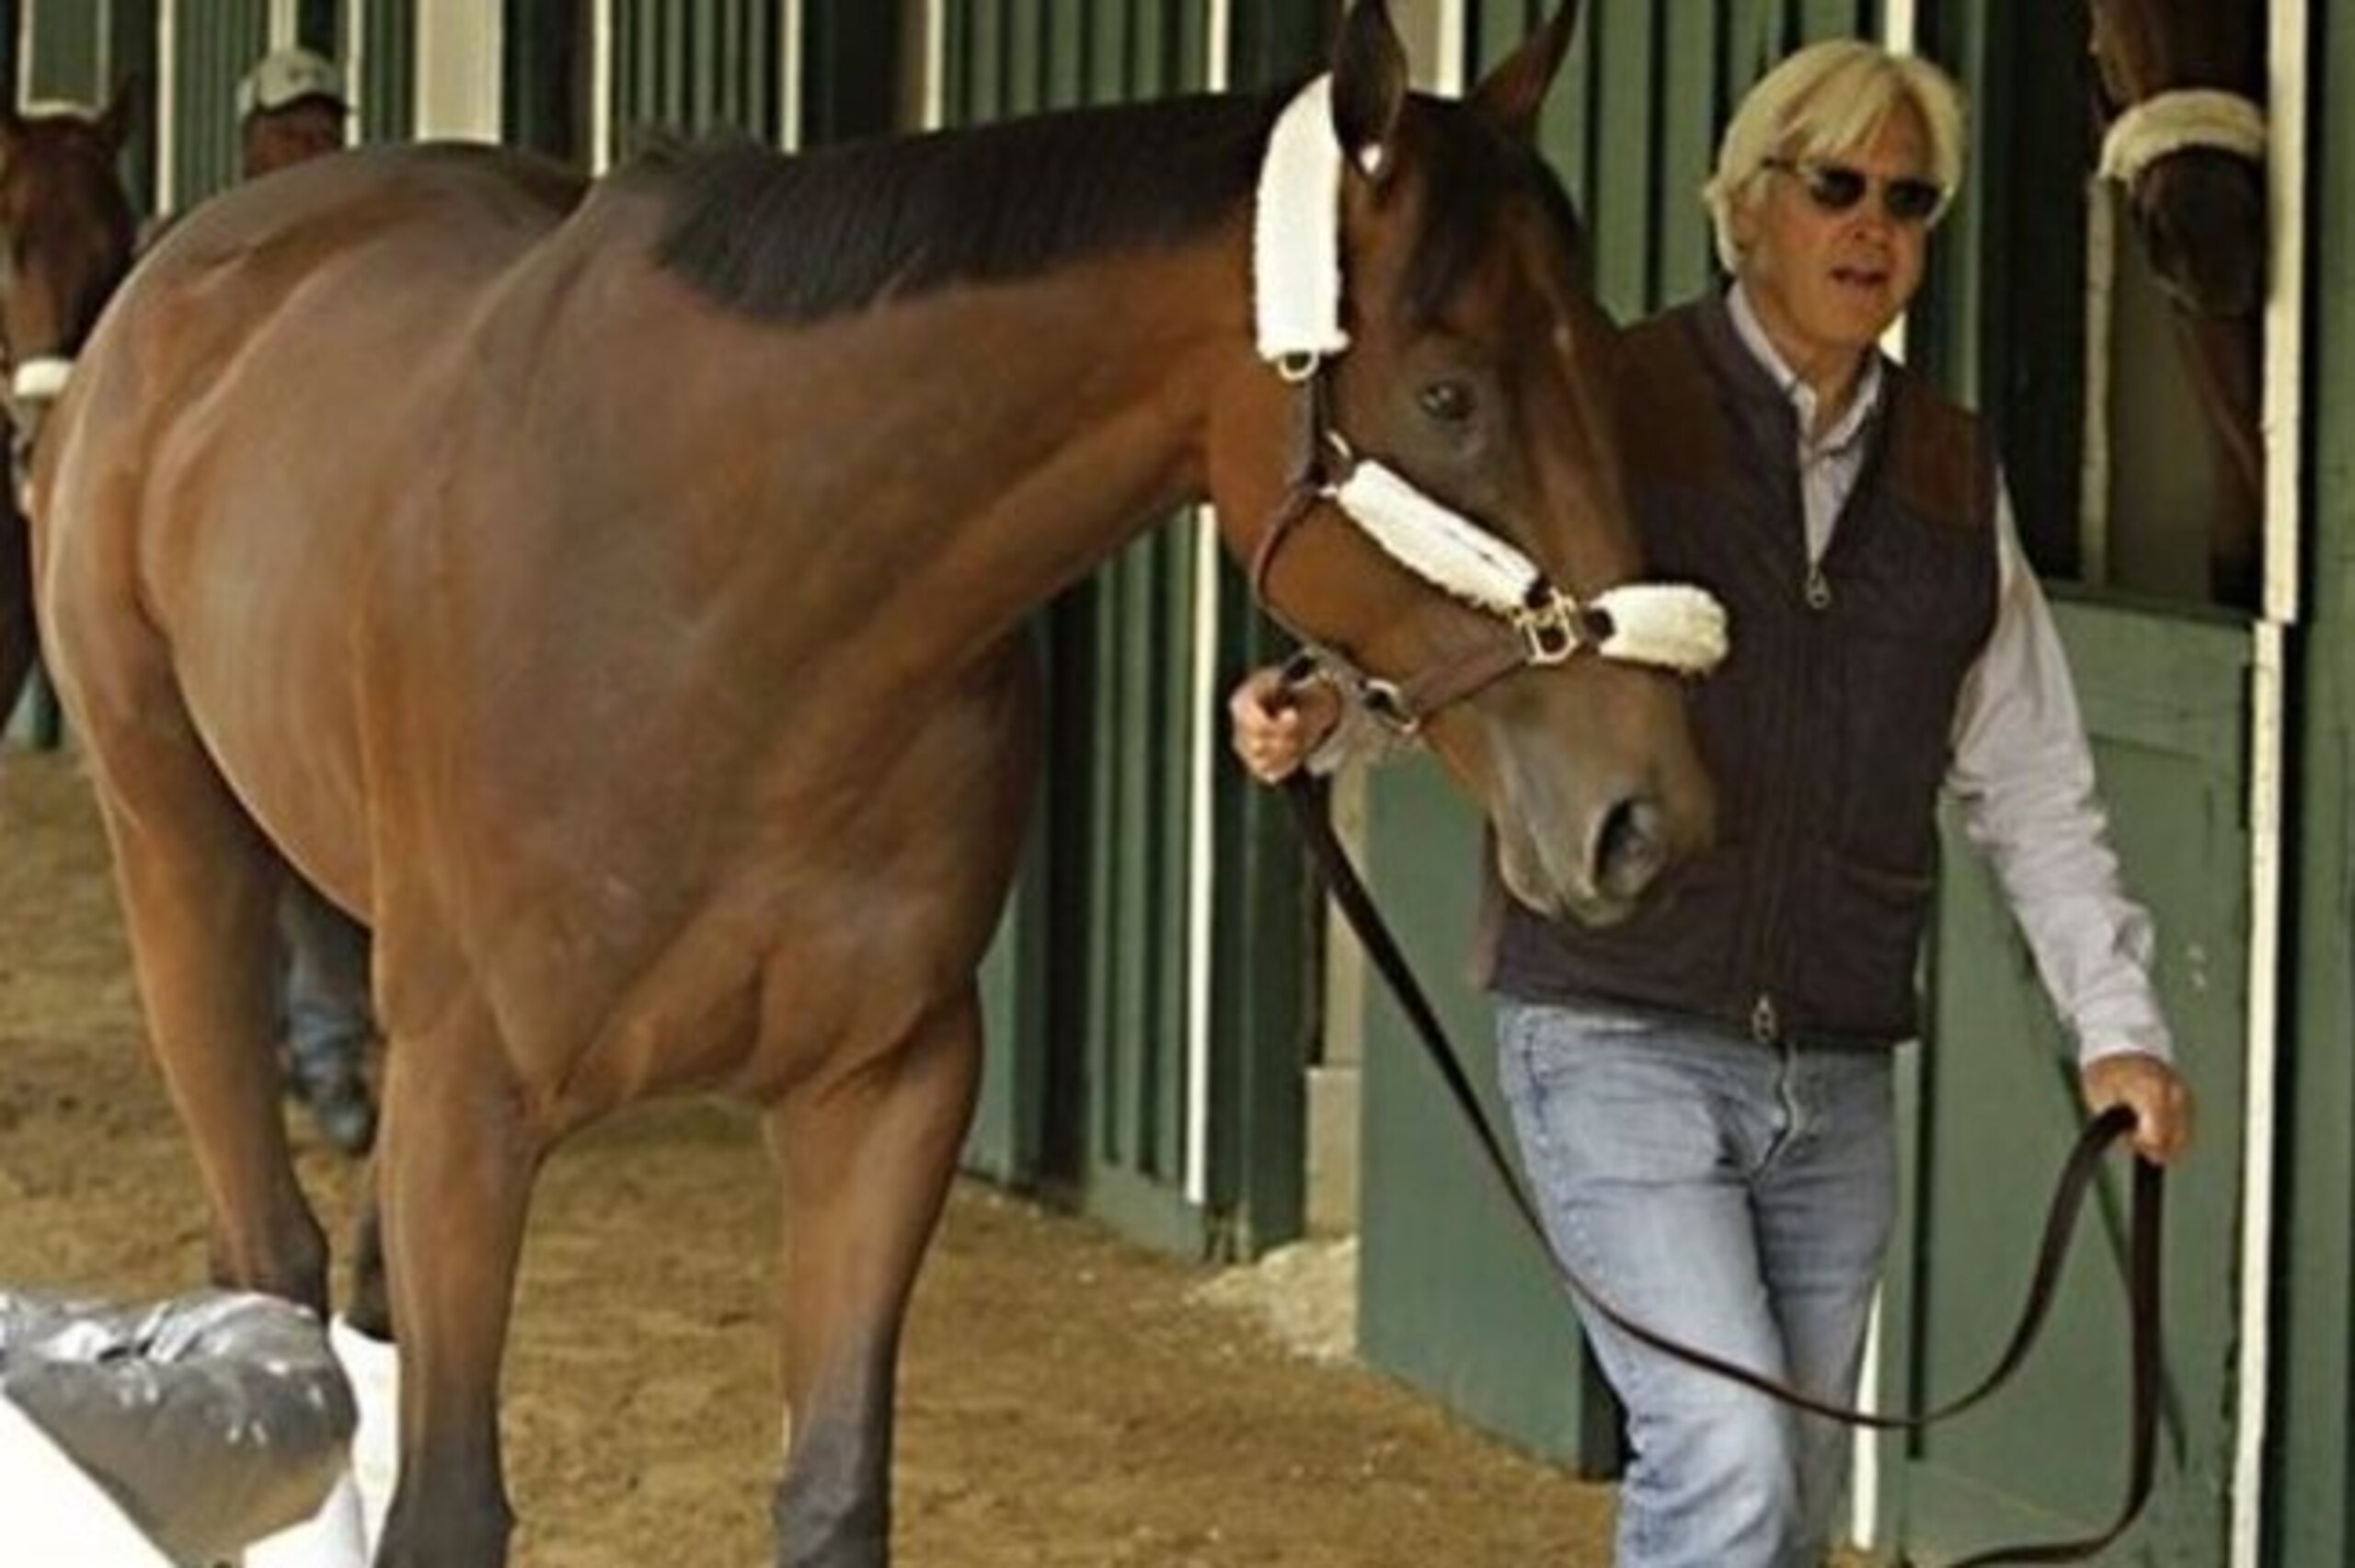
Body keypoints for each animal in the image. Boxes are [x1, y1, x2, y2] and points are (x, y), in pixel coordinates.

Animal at [28, 2, 1720, 1564]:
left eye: (1604, 353)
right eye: (1448, 395)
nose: (1650, 820)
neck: (730, 606)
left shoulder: (885, 1090)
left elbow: (834, 1492)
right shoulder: (472, 1101)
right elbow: (449, 1506)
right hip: (179, 857)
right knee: (272, 1261)